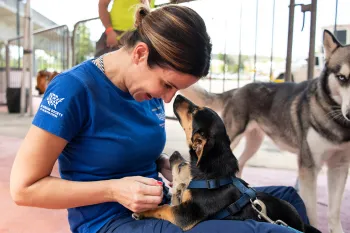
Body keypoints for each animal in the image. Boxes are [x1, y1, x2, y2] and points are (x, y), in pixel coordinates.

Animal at [133, 95, 320, 233]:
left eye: (194, 111)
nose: (177, 96)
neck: (209, 177)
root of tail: (302, 225)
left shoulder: (186, 214)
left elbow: (164, 208)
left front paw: (142, 212)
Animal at [180, 29, 350, 233]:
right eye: (342, 78)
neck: (336, 118)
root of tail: (238, 89)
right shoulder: (309, 166)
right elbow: (313, 212)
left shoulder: (340, 165)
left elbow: (334, 212)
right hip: (234, 136)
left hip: (254, 142)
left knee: (240, 163)